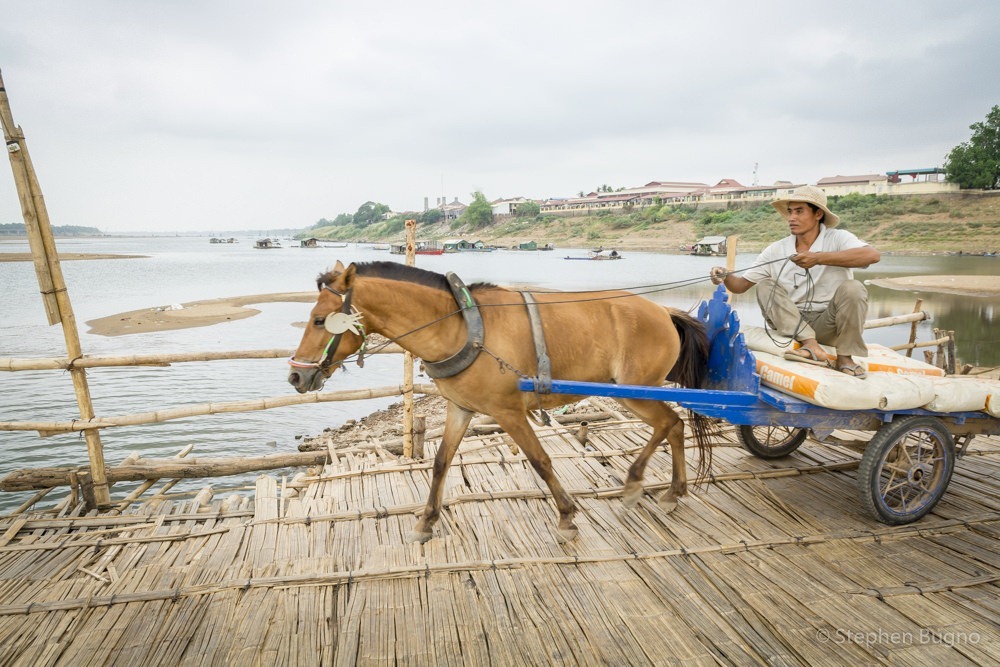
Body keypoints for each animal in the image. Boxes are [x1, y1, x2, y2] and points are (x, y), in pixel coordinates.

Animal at [286, 260, 716, 544]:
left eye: (320, 320)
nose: (296, 376)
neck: (461, 326)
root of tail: (664, 310)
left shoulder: (509, 413)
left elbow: (540, 461)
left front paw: (566, 516)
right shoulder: (460, 408)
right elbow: (440, 463)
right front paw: (427, 521)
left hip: (636, 391)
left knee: (669, 424)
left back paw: (637, 484)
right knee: (675, 426)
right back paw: (673, 491)